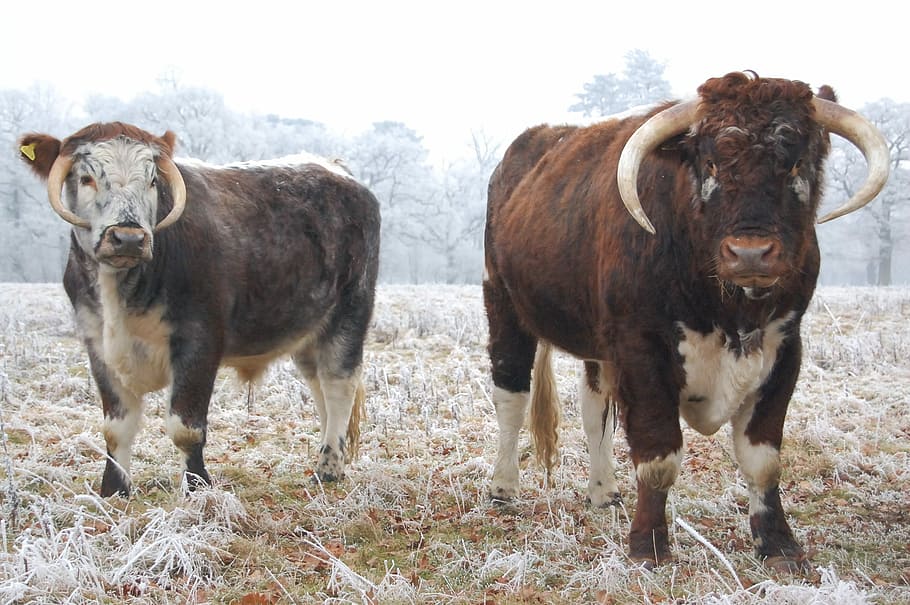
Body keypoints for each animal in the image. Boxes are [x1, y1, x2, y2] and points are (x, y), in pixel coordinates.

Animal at [18, 122, 381, 497]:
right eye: (86, 177)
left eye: (152, 180)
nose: (128, 238)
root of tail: (335, 170)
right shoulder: (97, 345)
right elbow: (116, 428)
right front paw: (114, 490)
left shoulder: (200, 342)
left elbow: (185, 426)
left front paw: (198, 488)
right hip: (308, 330)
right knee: (319, 386)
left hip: (349, 315)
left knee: (338, 385)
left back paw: (329, 468)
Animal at [483, 72, 889, 571]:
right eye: (710, 161)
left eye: (796, 163)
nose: (750, 253)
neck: (727, 311)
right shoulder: (643, 350)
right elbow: (659, 455)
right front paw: (649, 545)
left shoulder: (784, 348)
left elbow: (763, 460)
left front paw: (778, 545)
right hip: (503, 303)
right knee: (511, 396)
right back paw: (503, 487)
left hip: (599, 344)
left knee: (594, 408)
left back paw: (603, 490)